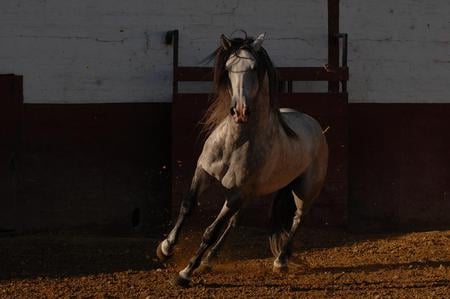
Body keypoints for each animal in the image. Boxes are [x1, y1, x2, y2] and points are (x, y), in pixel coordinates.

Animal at [156, 32, 328, 288]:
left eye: (254, 68)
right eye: (228, 68)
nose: (240, 111)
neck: (235, 142)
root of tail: (315, 126)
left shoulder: (236, 192)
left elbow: (210, 231)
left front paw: (185, 273)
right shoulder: (204, 172)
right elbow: (187, 207)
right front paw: (165, 249)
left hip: (303, 191)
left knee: (297, 219)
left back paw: (280, 261)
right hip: (251, 194)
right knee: (235, 222)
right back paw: (209, 261)